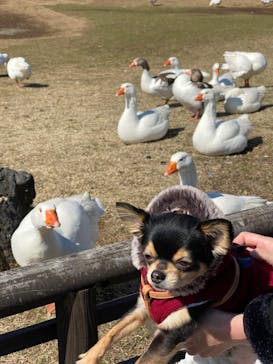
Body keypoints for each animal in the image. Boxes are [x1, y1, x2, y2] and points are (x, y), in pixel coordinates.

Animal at [75, 202, 245, 364]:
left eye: (183, 263)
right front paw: (89, 358)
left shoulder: (172, 332)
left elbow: (143, 360)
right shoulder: (140, 310)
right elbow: (112, 332)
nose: (156, 275)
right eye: (148, 256)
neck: (164, 293)